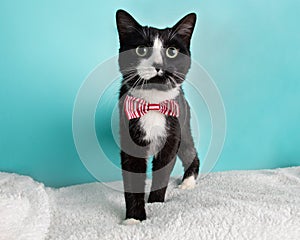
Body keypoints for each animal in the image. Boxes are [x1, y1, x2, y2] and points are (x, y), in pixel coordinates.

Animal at [116, 8, 199, 223]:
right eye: (141, 50)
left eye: (172, 51)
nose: (159, 65)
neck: (153, 103)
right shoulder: (129, 134)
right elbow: (133, 174)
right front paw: (134, 219)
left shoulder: (172, 132)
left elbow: (163, 169)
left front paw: (155, 203)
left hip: (184, 124)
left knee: (190, 150)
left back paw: (188, 182)